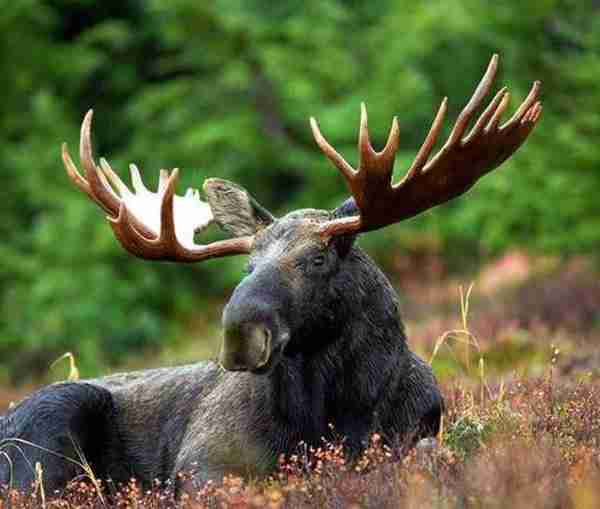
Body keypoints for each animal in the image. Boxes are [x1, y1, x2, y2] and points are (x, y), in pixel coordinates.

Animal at [0, 55, 540, 492]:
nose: (240, 334)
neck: (337, 412)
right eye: (248, 264)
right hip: (52, 421)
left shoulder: (418, 432)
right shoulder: (202, 462)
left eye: (318, 258)